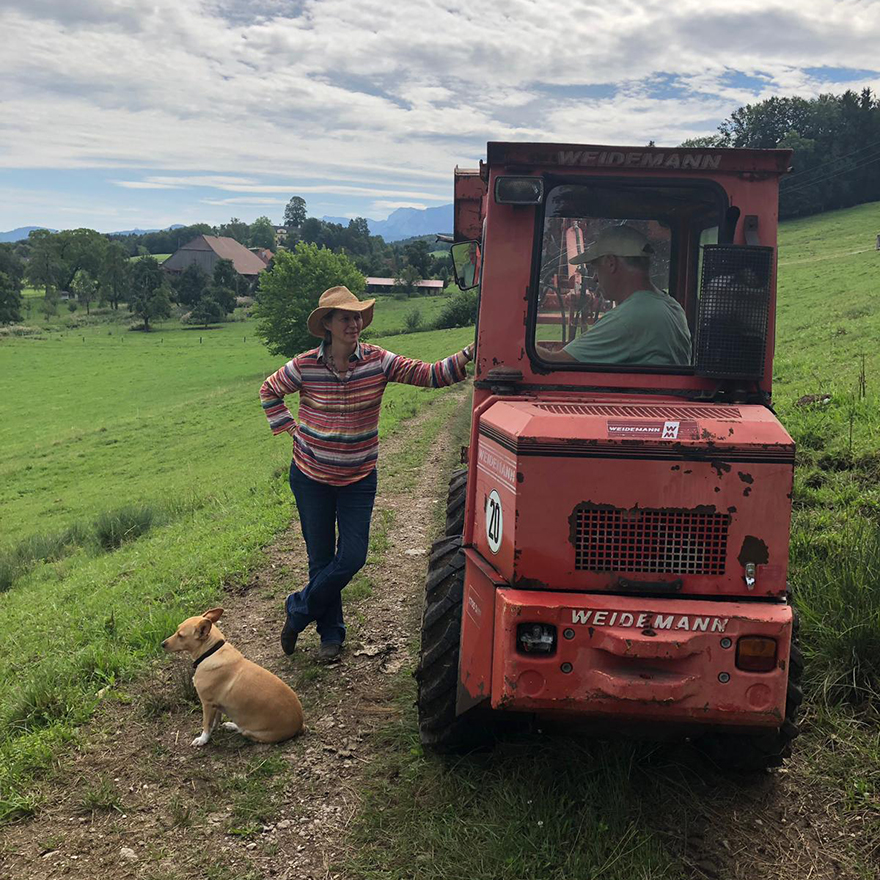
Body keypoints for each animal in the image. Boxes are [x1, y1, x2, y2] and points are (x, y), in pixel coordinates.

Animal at [163, 608, 304, 744]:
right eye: (177, 630)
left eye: (180, 635)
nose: (162, 644)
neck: (210, 652)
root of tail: (300, 725)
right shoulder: (216, 705)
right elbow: (215, 720)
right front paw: (214, 729)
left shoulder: (207, 703)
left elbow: (206, 724)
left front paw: (203, 740)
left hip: (252, 732)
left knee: (243, 731)